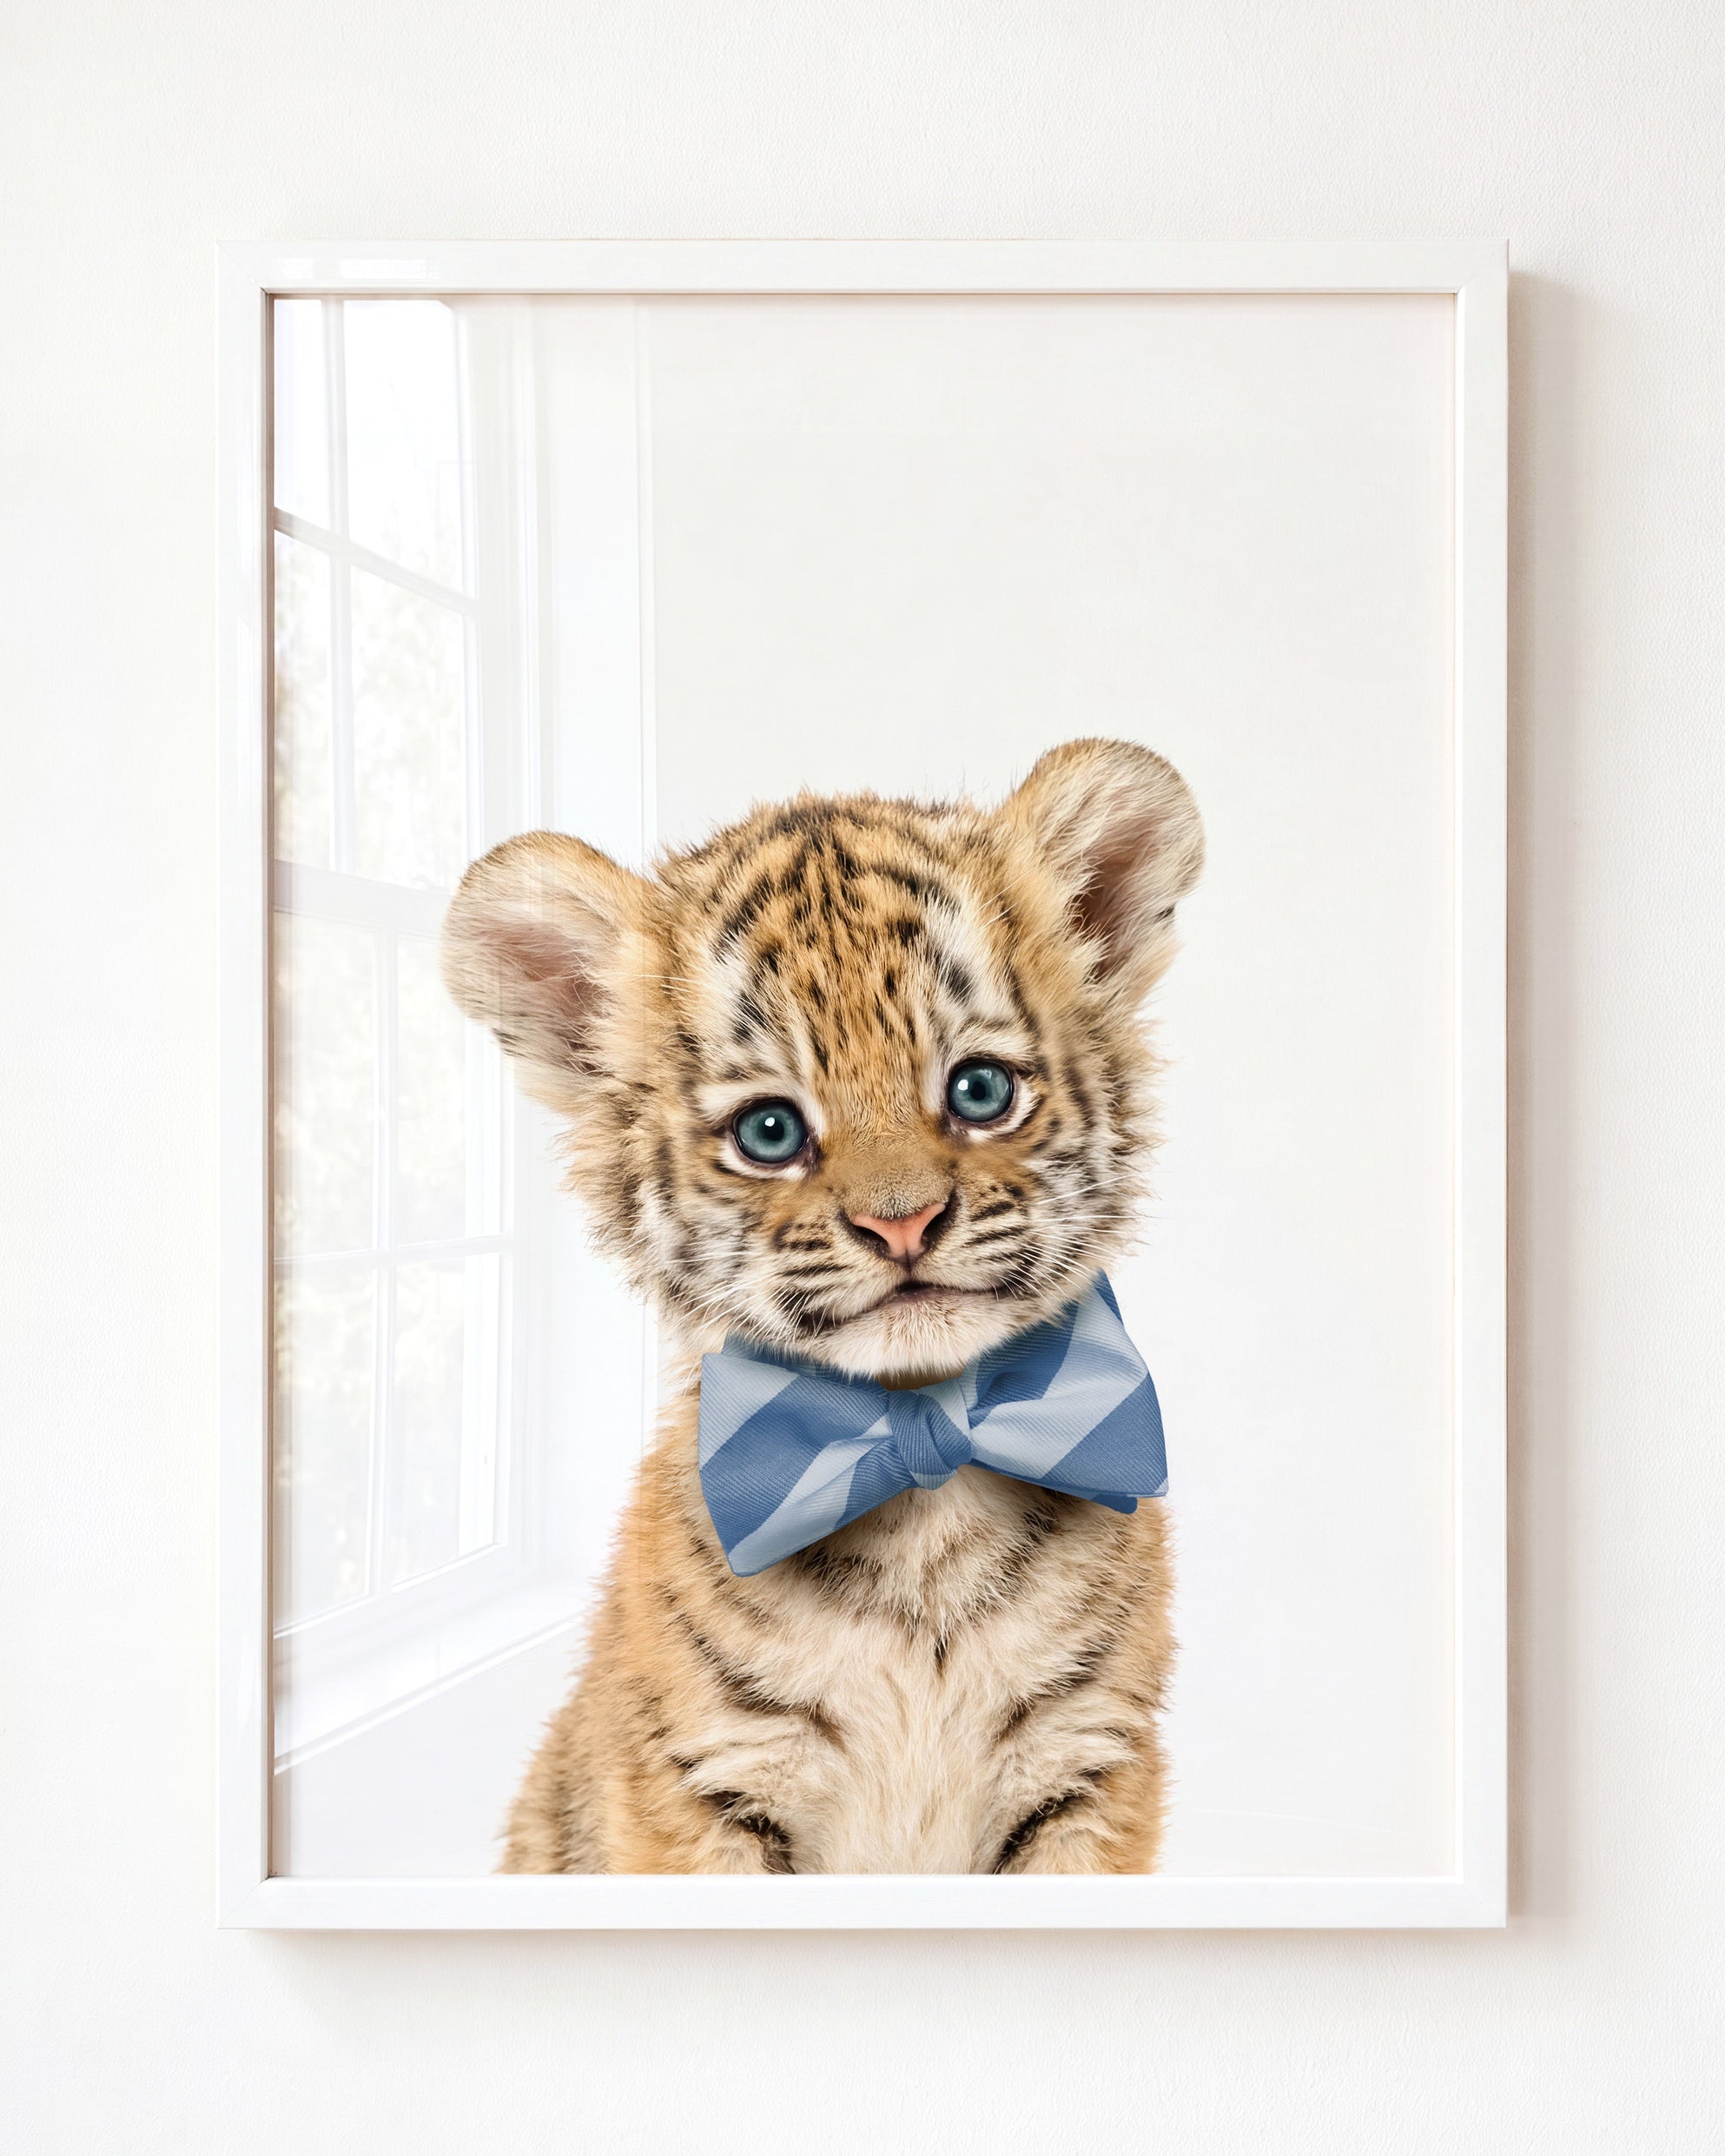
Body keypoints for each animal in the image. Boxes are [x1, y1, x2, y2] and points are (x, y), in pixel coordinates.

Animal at [440, 736, 1204, 1873]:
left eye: (980, 1091)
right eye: (769, 1131)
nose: (903, 1222)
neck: (922, 1478)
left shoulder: (1089, 1764)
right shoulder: (702, 1783)